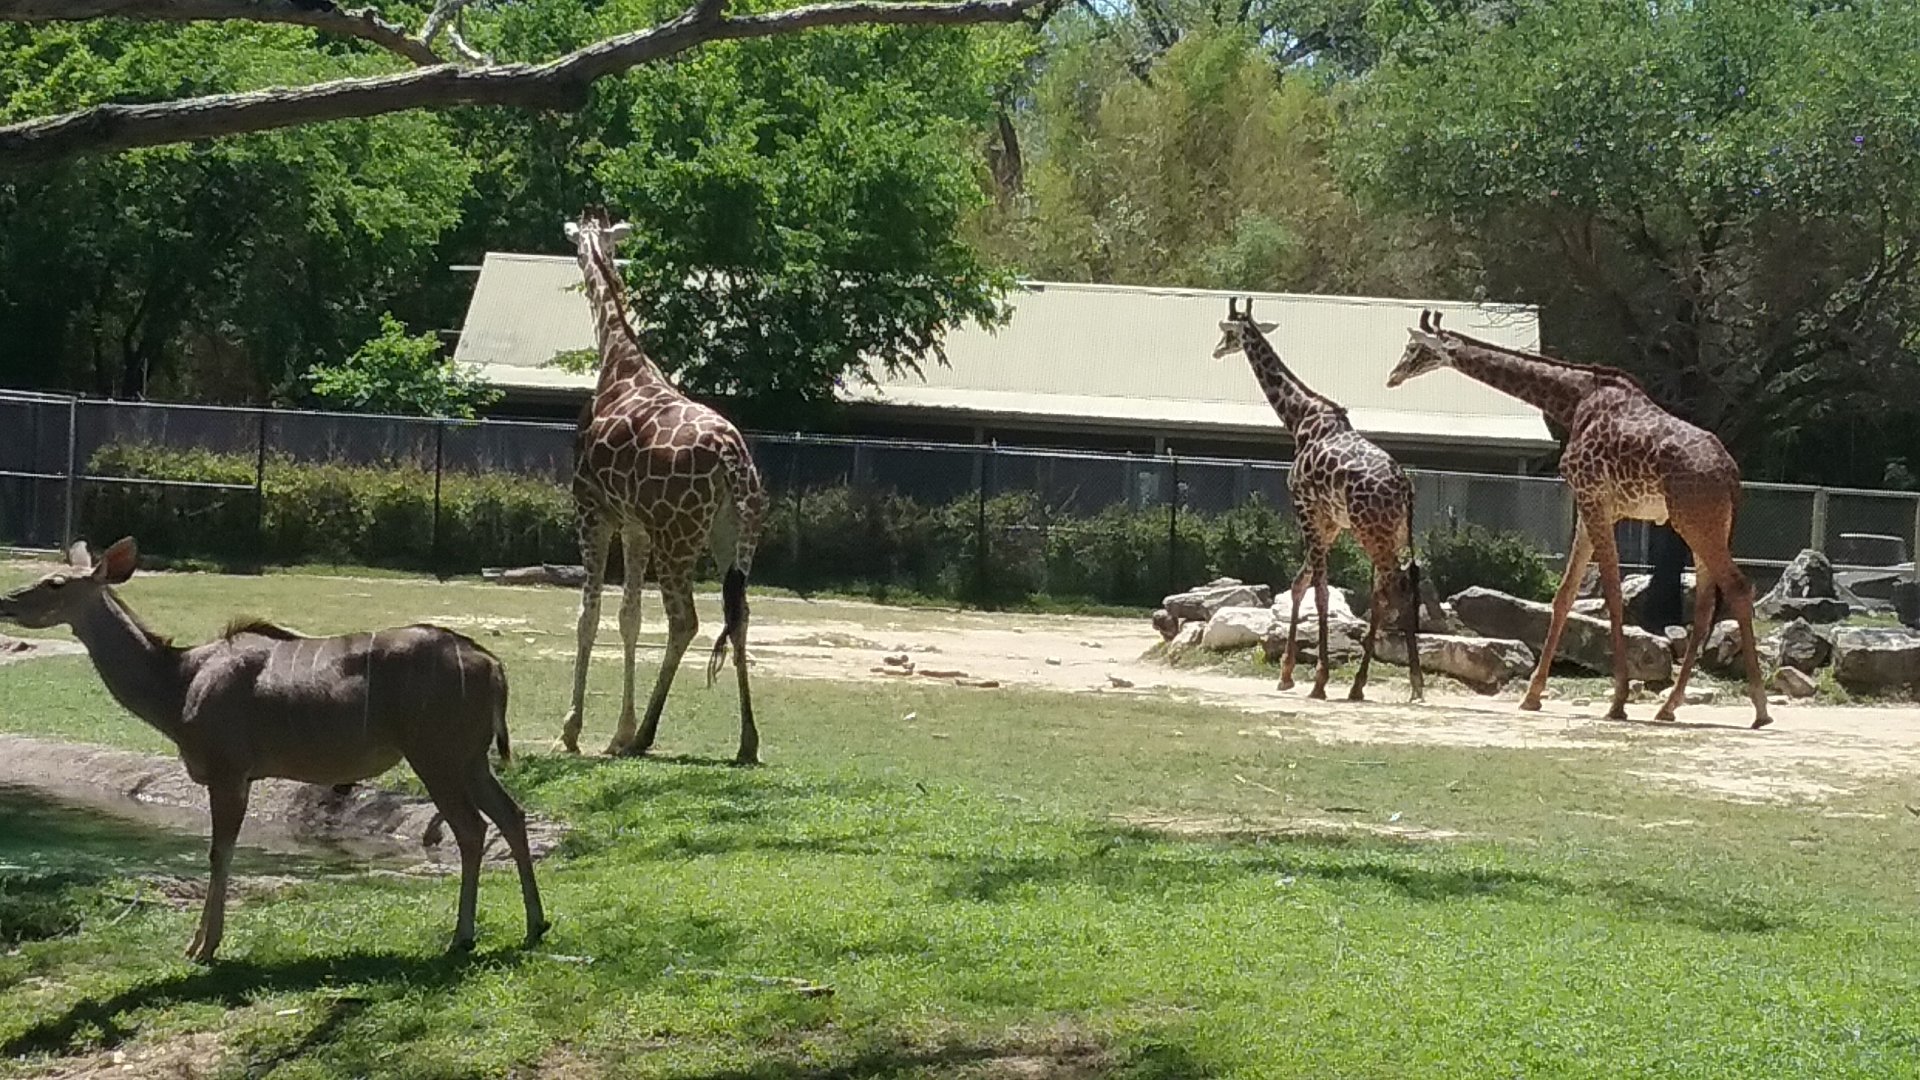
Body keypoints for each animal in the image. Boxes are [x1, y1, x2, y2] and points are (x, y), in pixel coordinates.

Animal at [555, 206, 771, 763]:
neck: (618, 360)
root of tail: (732, 459)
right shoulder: (635, 526)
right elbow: (629, 616)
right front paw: (617, 731)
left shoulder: (593, 509)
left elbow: (589, 614)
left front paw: (575, 730)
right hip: (733, 536)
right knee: (739, 614)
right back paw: (747, 742)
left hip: (678, 539)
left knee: (685, 621)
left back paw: (648, 736)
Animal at [1213, 298, 1424, 702]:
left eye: (1227, 332)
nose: (1216, 350)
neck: (1299, 419)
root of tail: (1405, 487)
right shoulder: (1329, 524)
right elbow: (1300, 584)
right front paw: (1287, 675)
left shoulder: (1305, 509)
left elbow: (1321, 592)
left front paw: (1319, 680)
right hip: (1391, 533)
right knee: (1389, 589)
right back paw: (1372, 685)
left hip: (1370, 532)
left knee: (1396, 589)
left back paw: (1401, 684)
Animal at [1387, 309, 1770, 729]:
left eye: (1414, 348)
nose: (1393, 376)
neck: (1573, 402)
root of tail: (1731, 473)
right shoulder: (1593, 508)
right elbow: (1566, 594)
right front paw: (1532, 696)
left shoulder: (1592, 499)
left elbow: (1613, 594)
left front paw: (1617, 700)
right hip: (1705, 524)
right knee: (1704, 605)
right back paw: (1668, 707)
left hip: (1696, 521)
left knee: (1737, 587)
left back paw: (1760, 709)